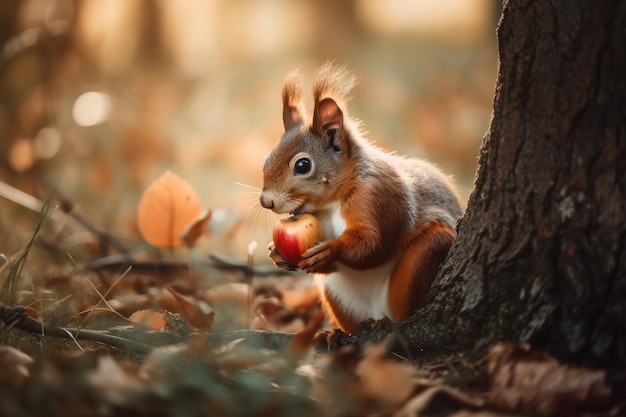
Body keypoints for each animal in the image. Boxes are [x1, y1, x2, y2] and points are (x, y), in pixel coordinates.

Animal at [258, 62, 458, 334]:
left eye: (302, 165)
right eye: (266, 161)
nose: (265, 201)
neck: (332, 203)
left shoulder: (380, 196)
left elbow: (373, 244)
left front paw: (330, 250)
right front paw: (275, 254)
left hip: (426, 255)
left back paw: (383, 322)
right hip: (338, 296)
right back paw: (334, 334)